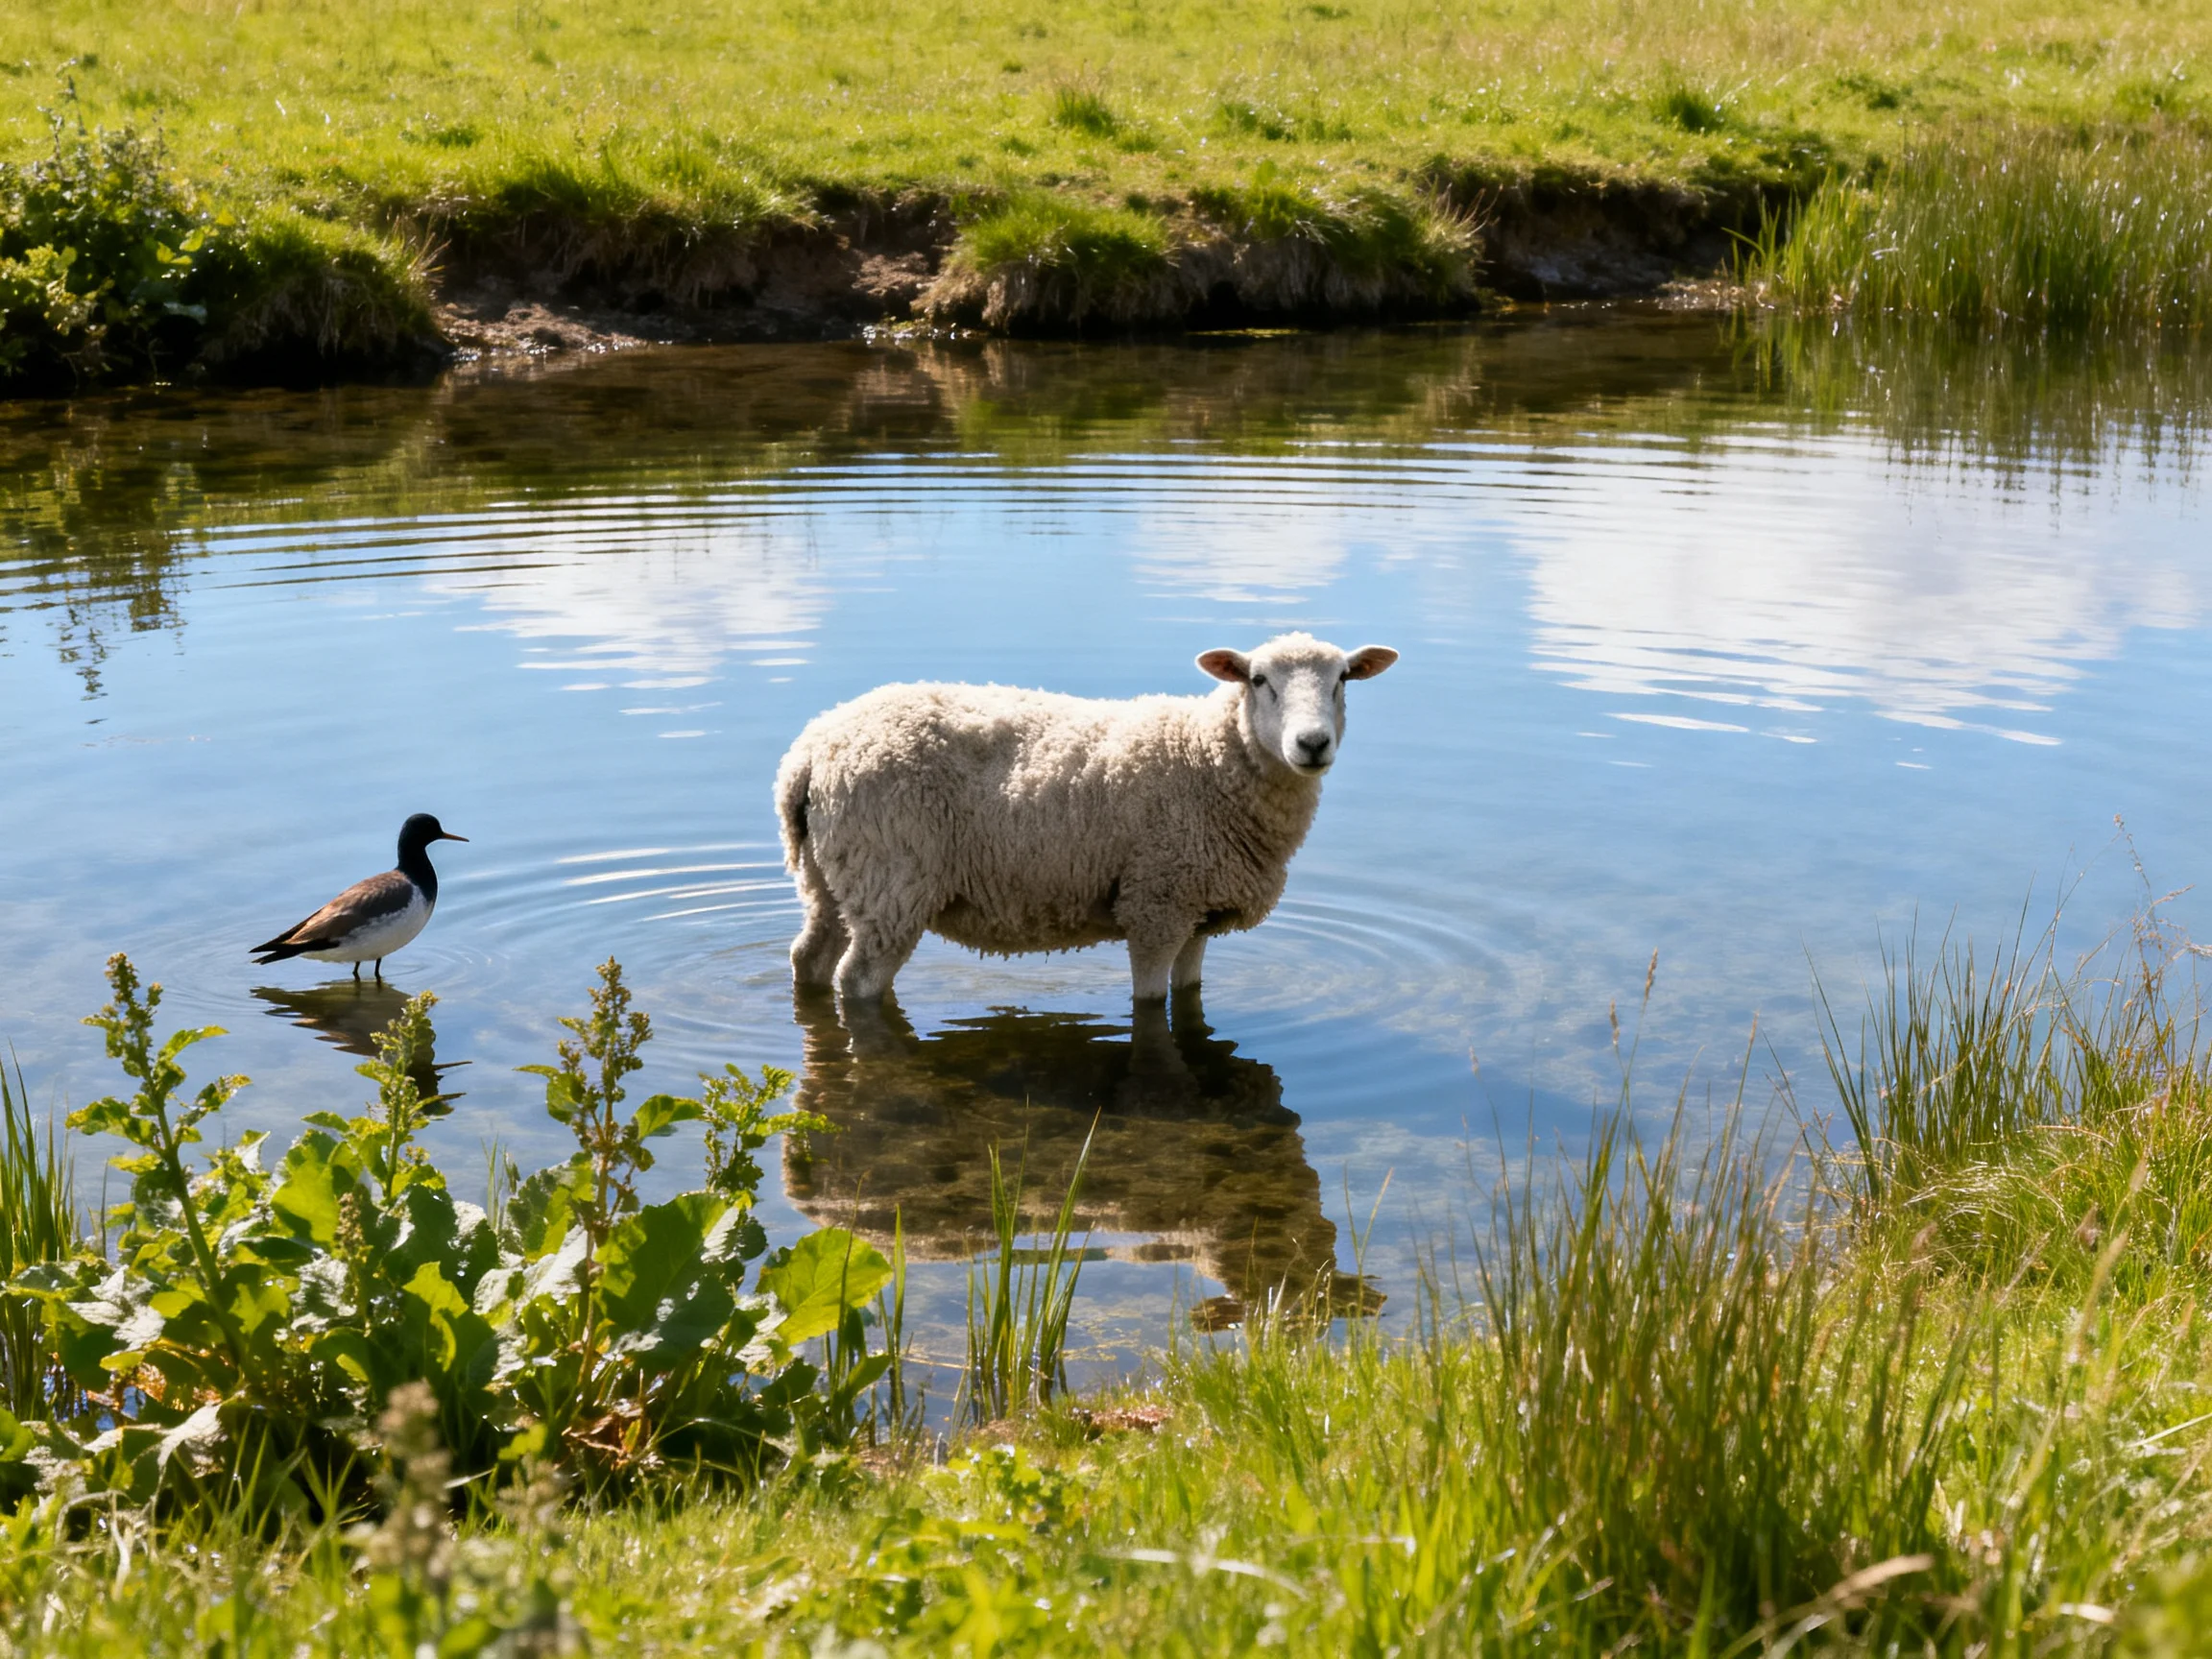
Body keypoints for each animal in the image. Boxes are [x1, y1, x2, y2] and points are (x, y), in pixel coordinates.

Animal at [773, 632, 1399, 1006]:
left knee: (809, 957)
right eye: (1259, 680)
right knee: (858, 980)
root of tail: (810, 752)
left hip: (832, 876)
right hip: (891, 877)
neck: (1206, 757)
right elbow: (1151, 1005)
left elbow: (1189, 995)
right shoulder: (1155, 906)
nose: (1312, 743)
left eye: (1343, 679)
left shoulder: (1196, 910)